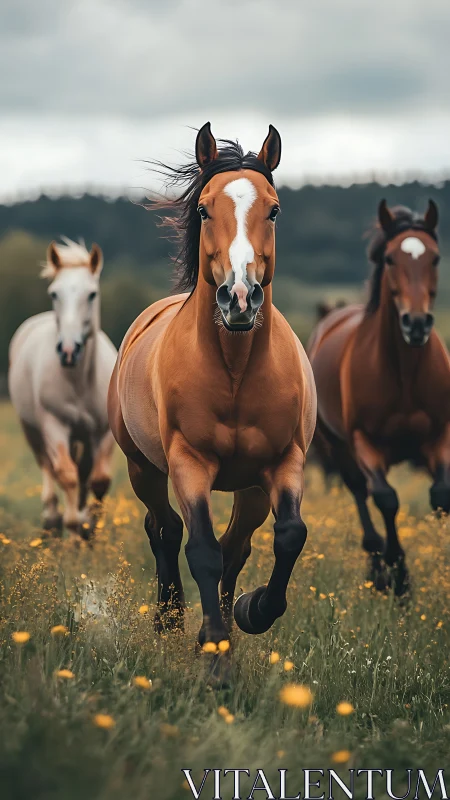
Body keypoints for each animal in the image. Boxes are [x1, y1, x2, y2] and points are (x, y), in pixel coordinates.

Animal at [9, 238, 117, 539]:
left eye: (92, 294)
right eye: (54, 293)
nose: (69, 350)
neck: (79, 381)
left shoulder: (103, 432)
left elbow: (99, 480)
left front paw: (90, 527)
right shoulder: (54, 425)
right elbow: (66, 475)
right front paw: (74, 524)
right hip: (33, 430)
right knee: (49, 468)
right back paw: (53, 521)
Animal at [108, 123, 316, 675]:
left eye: (274, 209)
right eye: (203, 209)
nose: (238, 298)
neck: (235, 371)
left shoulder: (283, 462)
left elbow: (289, 536)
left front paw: (252, 611)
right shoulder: (189, 461)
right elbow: (199, 547)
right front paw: (215, 654)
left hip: (251, 487)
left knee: (235, 546)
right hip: (143, 467)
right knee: (164, 529)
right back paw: (170, 619)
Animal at [308, 200, 450, 595]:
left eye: (435, 258)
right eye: (389, 259)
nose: (415, 324)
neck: (403, 373)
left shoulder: (439, 437)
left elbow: (441, 496)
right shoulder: (365, 443)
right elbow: (386, 499)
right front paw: (399, 579)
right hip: (339, 447)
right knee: (360, 492)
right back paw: (379, 570)